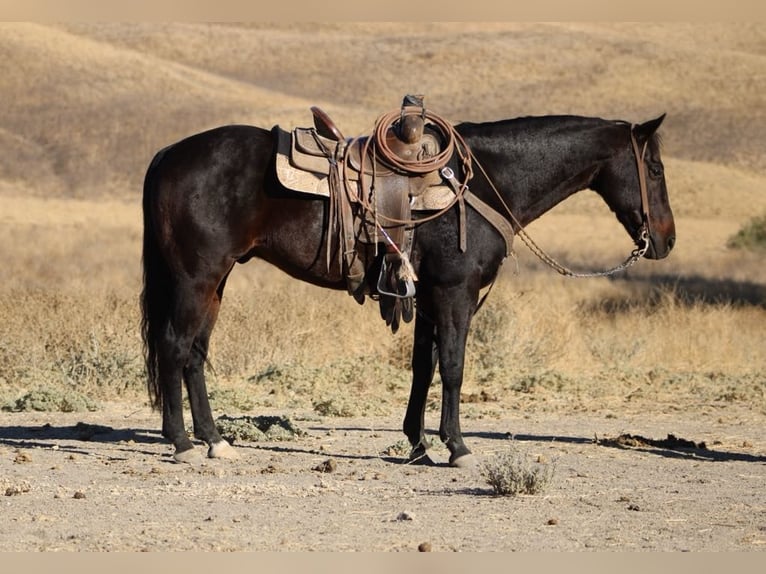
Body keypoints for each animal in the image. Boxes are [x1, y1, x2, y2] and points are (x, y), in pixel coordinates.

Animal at [140, 110, 675, 467]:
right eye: (655, 170)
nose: (666, 240)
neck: (480, 182)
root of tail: (168, 155)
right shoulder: (456, 294)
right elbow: (454, 367)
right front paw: (457, 447)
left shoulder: (429, 295)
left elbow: (424, 367)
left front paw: (418, 445)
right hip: (196, 277)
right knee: (174, 346)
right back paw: (182, 443)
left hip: (216, 282)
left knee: (194, 354)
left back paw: (214, 440)